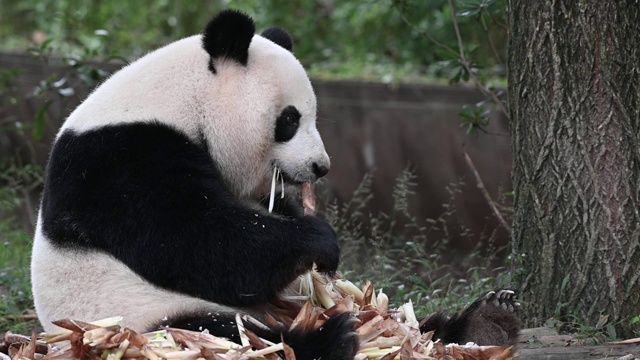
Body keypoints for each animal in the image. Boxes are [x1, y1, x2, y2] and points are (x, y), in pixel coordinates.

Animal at [31, 9, 520, 360]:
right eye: (289, 120)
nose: (321, 167)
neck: (181, 98)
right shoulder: (121, 159)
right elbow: (191, 240)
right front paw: (319, 239)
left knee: (402, 320)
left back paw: (485, 321)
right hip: (130, 317)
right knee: (227, 335)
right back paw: (331, 339)